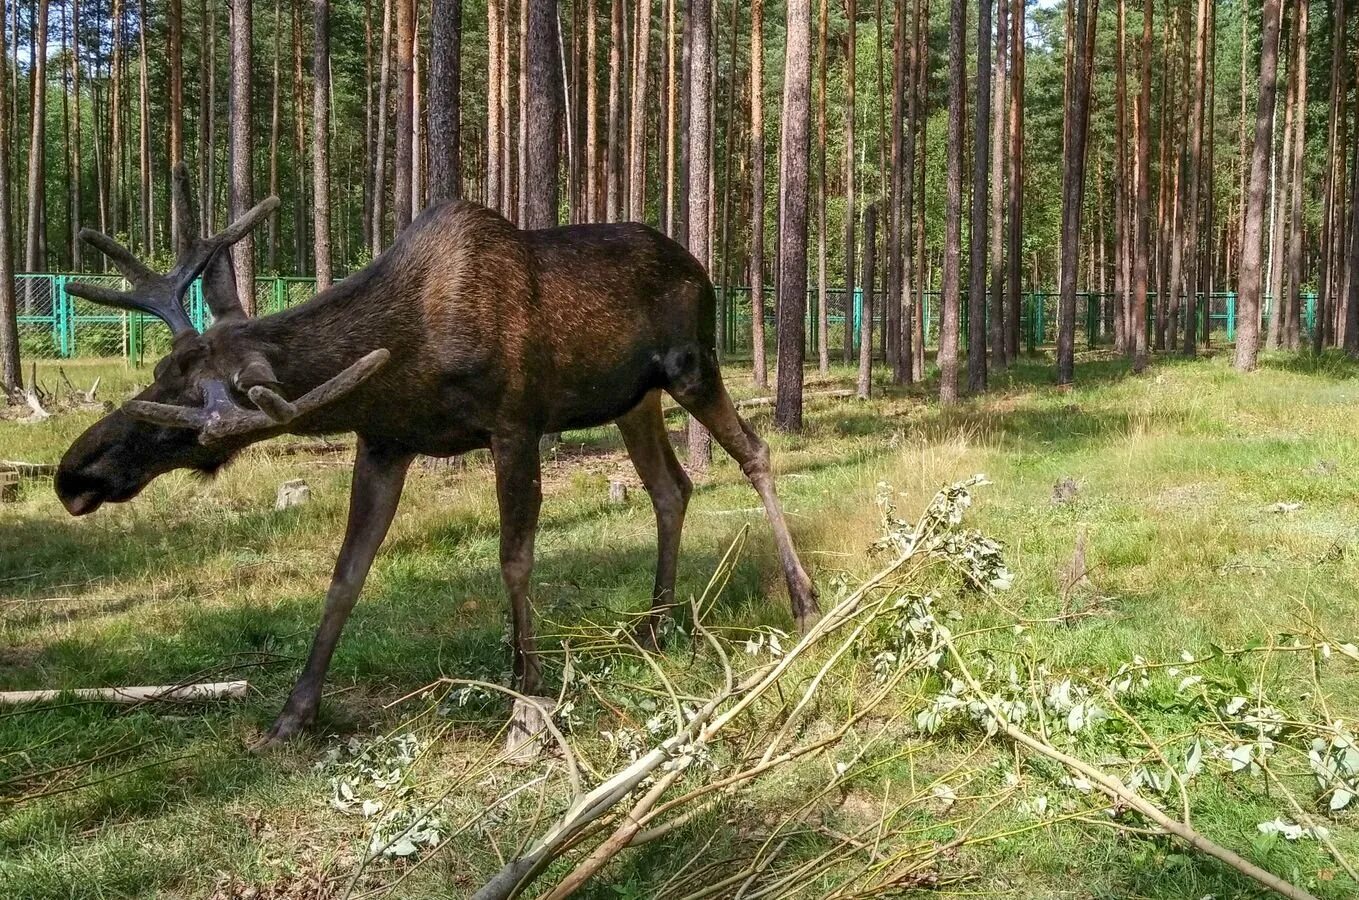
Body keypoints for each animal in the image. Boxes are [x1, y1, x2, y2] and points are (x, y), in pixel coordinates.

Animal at [58, 165, 820, 750]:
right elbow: (346, 574)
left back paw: (802, 600)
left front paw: (526, 703)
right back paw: (656, 625)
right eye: (161, 371)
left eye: (199, 417)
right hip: (633, 400)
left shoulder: (515, 424)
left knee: (755, 452)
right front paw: (292, 715)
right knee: (673, 486)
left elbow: (514, 560)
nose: (75, 473)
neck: (404, 360)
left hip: (692, 365)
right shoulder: (385, 443)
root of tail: (704, 270)